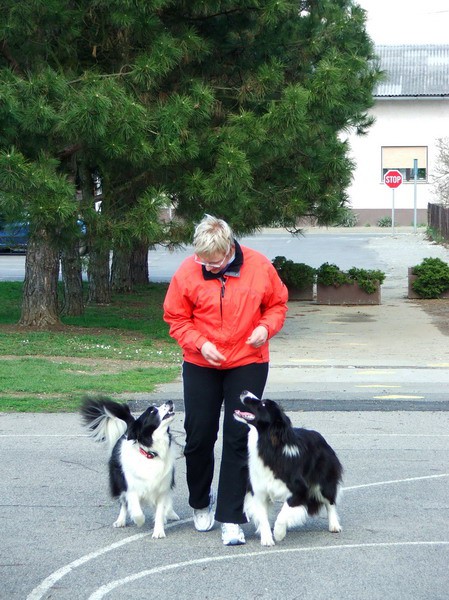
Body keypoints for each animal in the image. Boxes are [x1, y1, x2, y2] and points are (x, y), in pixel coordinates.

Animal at [80, 398, 178, 540]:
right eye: (152, 411)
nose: (169, 401)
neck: (150, 454)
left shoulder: (162, 487)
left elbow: (160, 510)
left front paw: (159, 531)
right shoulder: (130, 487)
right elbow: (136, 509)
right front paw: (139, 521)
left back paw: (170, 514)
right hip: (118, 481)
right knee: (123, 503)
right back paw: (120, 521)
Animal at [233, 392, 342, 548]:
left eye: (264, 404)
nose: (244, 392)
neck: (268, 445)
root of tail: (320, 437)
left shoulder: (300, 489)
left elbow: (283, 512)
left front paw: (279, 533)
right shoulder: (258, 490)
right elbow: (263, 516)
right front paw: (267, 538)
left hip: (324, 478)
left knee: (330, 500)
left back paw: (334, 525)